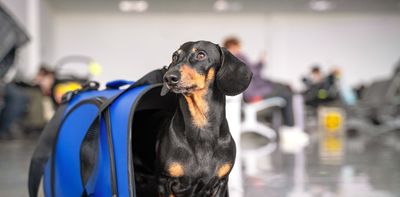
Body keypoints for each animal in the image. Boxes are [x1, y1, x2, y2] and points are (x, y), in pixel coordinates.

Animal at [155, 40, 252, 196]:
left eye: (201, 55)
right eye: (175, 56)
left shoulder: (220, 183)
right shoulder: (164, 181)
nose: (169, 78)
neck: (201, 127)